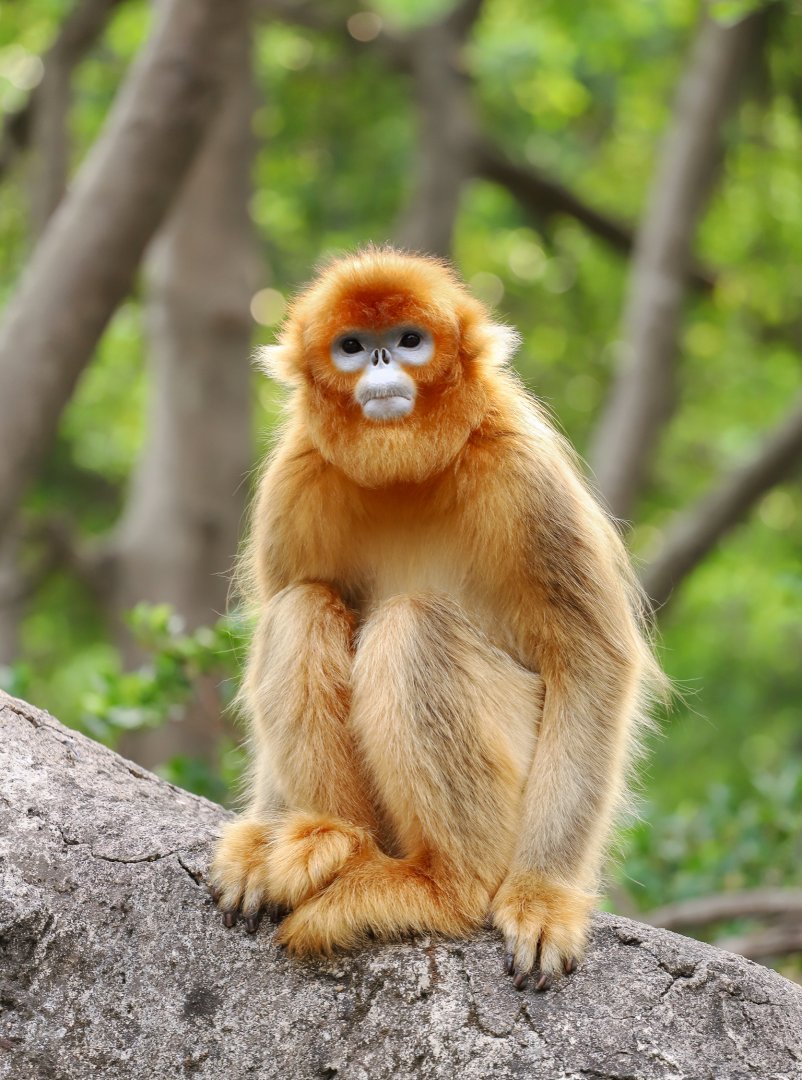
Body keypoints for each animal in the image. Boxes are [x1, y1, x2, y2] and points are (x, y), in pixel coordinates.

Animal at [209, 245, 663, 989]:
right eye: (352, 346)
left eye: (409, 340)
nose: (380, 361)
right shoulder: (297, 479)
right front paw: (259, 839)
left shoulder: (522, 467)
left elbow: (591, 662)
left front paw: (545, 895)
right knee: (302, 606)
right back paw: (326, 838)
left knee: (412, 625)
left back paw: (438, 887)